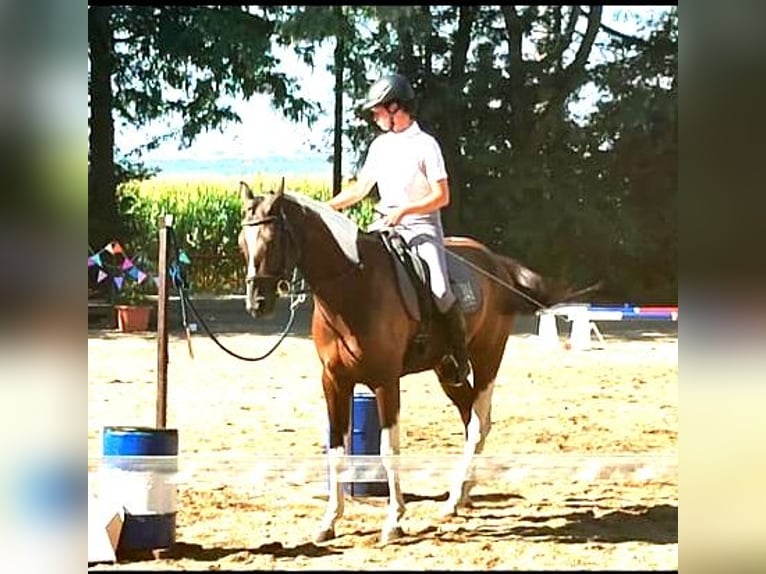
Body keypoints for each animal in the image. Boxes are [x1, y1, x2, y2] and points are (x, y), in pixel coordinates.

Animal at [237, 180, 592, 544]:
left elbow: (388, 449)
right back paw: (461, 495)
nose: (256, 303)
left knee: (478, 422)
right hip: (446, 370)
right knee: (469, 417)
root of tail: (495, 263)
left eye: (272, 240)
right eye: (242, 243)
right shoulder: (333, 380)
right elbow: (336, 448)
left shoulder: (385, 381)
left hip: (487, 356)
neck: (353, 287)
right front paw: (329, 521)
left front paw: (394, 521)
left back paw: (453, 499)